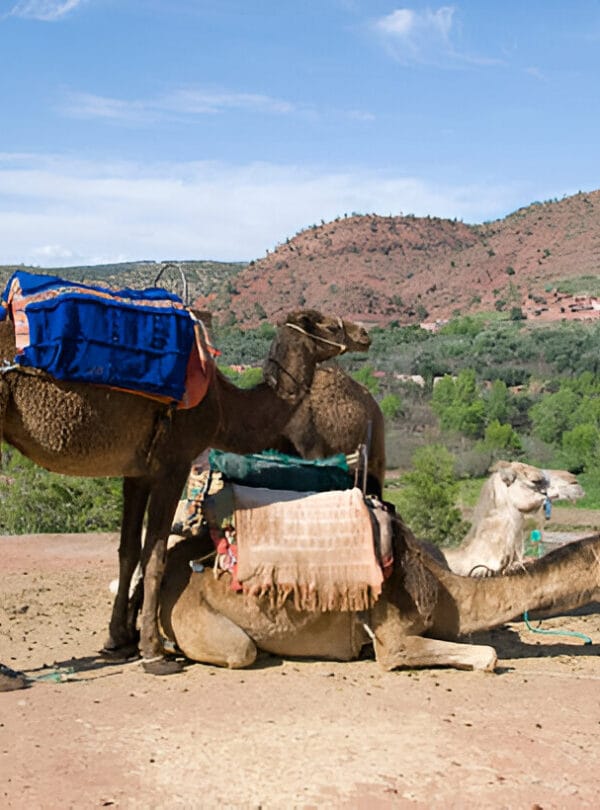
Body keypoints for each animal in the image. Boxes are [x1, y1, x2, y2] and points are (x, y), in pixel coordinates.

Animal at [0, 303, 370, 673]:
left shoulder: (137, 472)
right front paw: (153, 651)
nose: (363, 333)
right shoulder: (174, 463)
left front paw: (117, 640)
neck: (223, 406)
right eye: (325, 324)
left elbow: (128, 551)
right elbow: (155, 554)